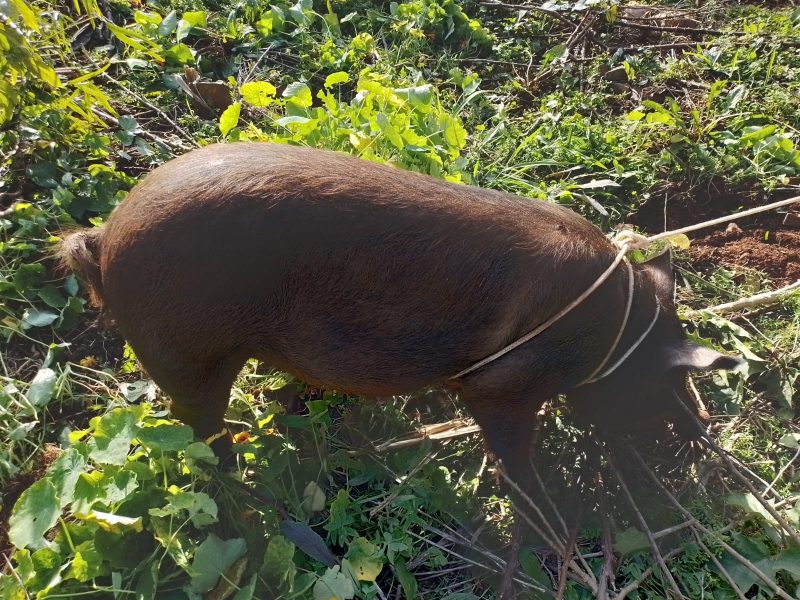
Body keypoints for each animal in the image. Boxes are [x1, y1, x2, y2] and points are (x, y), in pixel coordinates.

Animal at [59, 142, 740, 488]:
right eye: (666, 384)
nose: (698, 434)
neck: (611, 338)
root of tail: (104, 237)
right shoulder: (499, 387)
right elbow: (515, 451)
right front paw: (539, 500)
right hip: (184, 353)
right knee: (202, 431)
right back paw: (239, 480)